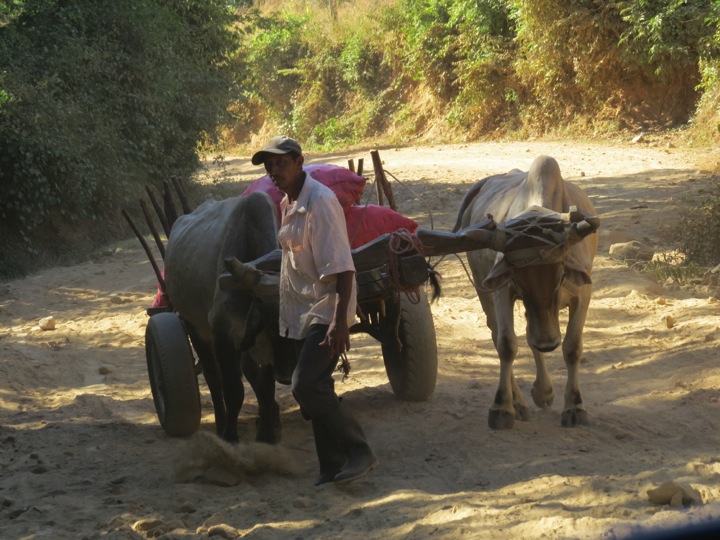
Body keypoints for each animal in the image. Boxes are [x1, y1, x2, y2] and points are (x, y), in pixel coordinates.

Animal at [164, 191, 295, 443]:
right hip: (194, 326)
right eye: (273, 325)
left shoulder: (257, 343)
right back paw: (220, 423)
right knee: (214, 378)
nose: (286, 375)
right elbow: (233, 389)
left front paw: (266, 434)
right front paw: (230, 435)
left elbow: (265, 386)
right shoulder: (222, 333)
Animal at [453, 155, 599, 430]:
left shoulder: (582, 294)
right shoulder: (502, 291)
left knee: (532, 337)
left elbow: (572, 347)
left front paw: (574, 406)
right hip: (483, 289)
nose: (548, 343)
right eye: (518, 280)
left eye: (561, 275)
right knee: (500, 335)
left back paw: (543, 392)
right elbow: (507, 344)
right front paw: (502, 407)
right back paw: (521, 403)